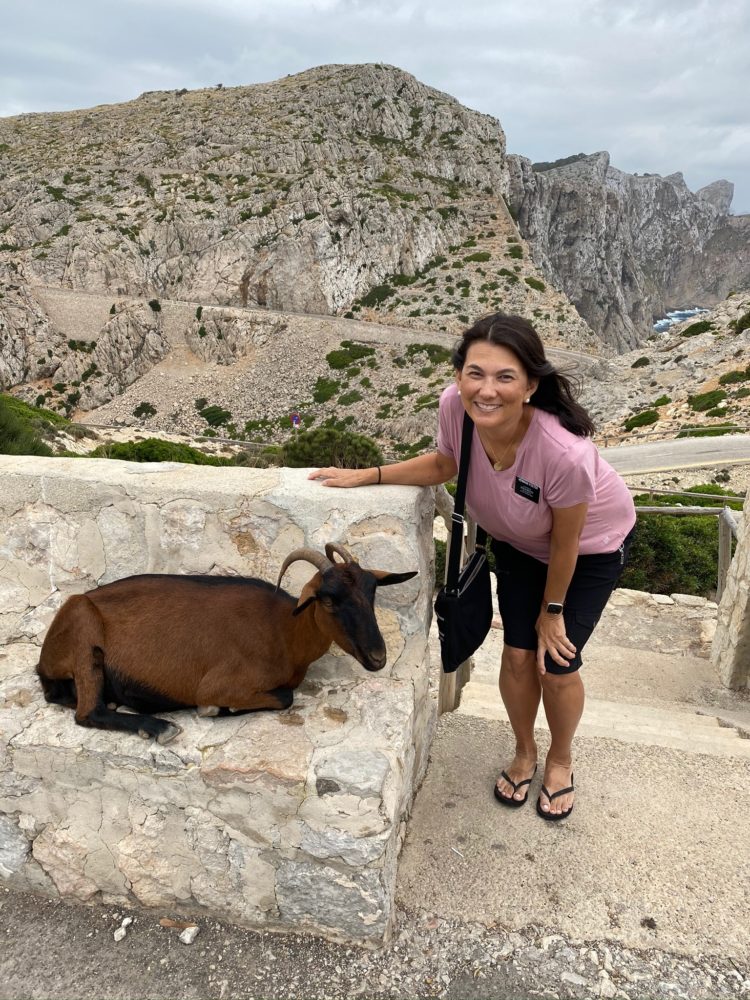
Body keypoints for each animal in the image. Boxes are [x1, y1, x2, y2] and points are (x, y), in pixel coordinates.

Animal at [35, 540, 418, 744]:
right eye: (327, 599)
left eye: (372, 591)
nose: (377, 656)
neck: (283, 630)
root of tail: (44, 658)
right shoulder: (220, 684)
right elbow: (284, 697)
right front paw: (218, 710)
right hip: (84, 628)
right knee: (87, 712)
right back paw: (158, 726)